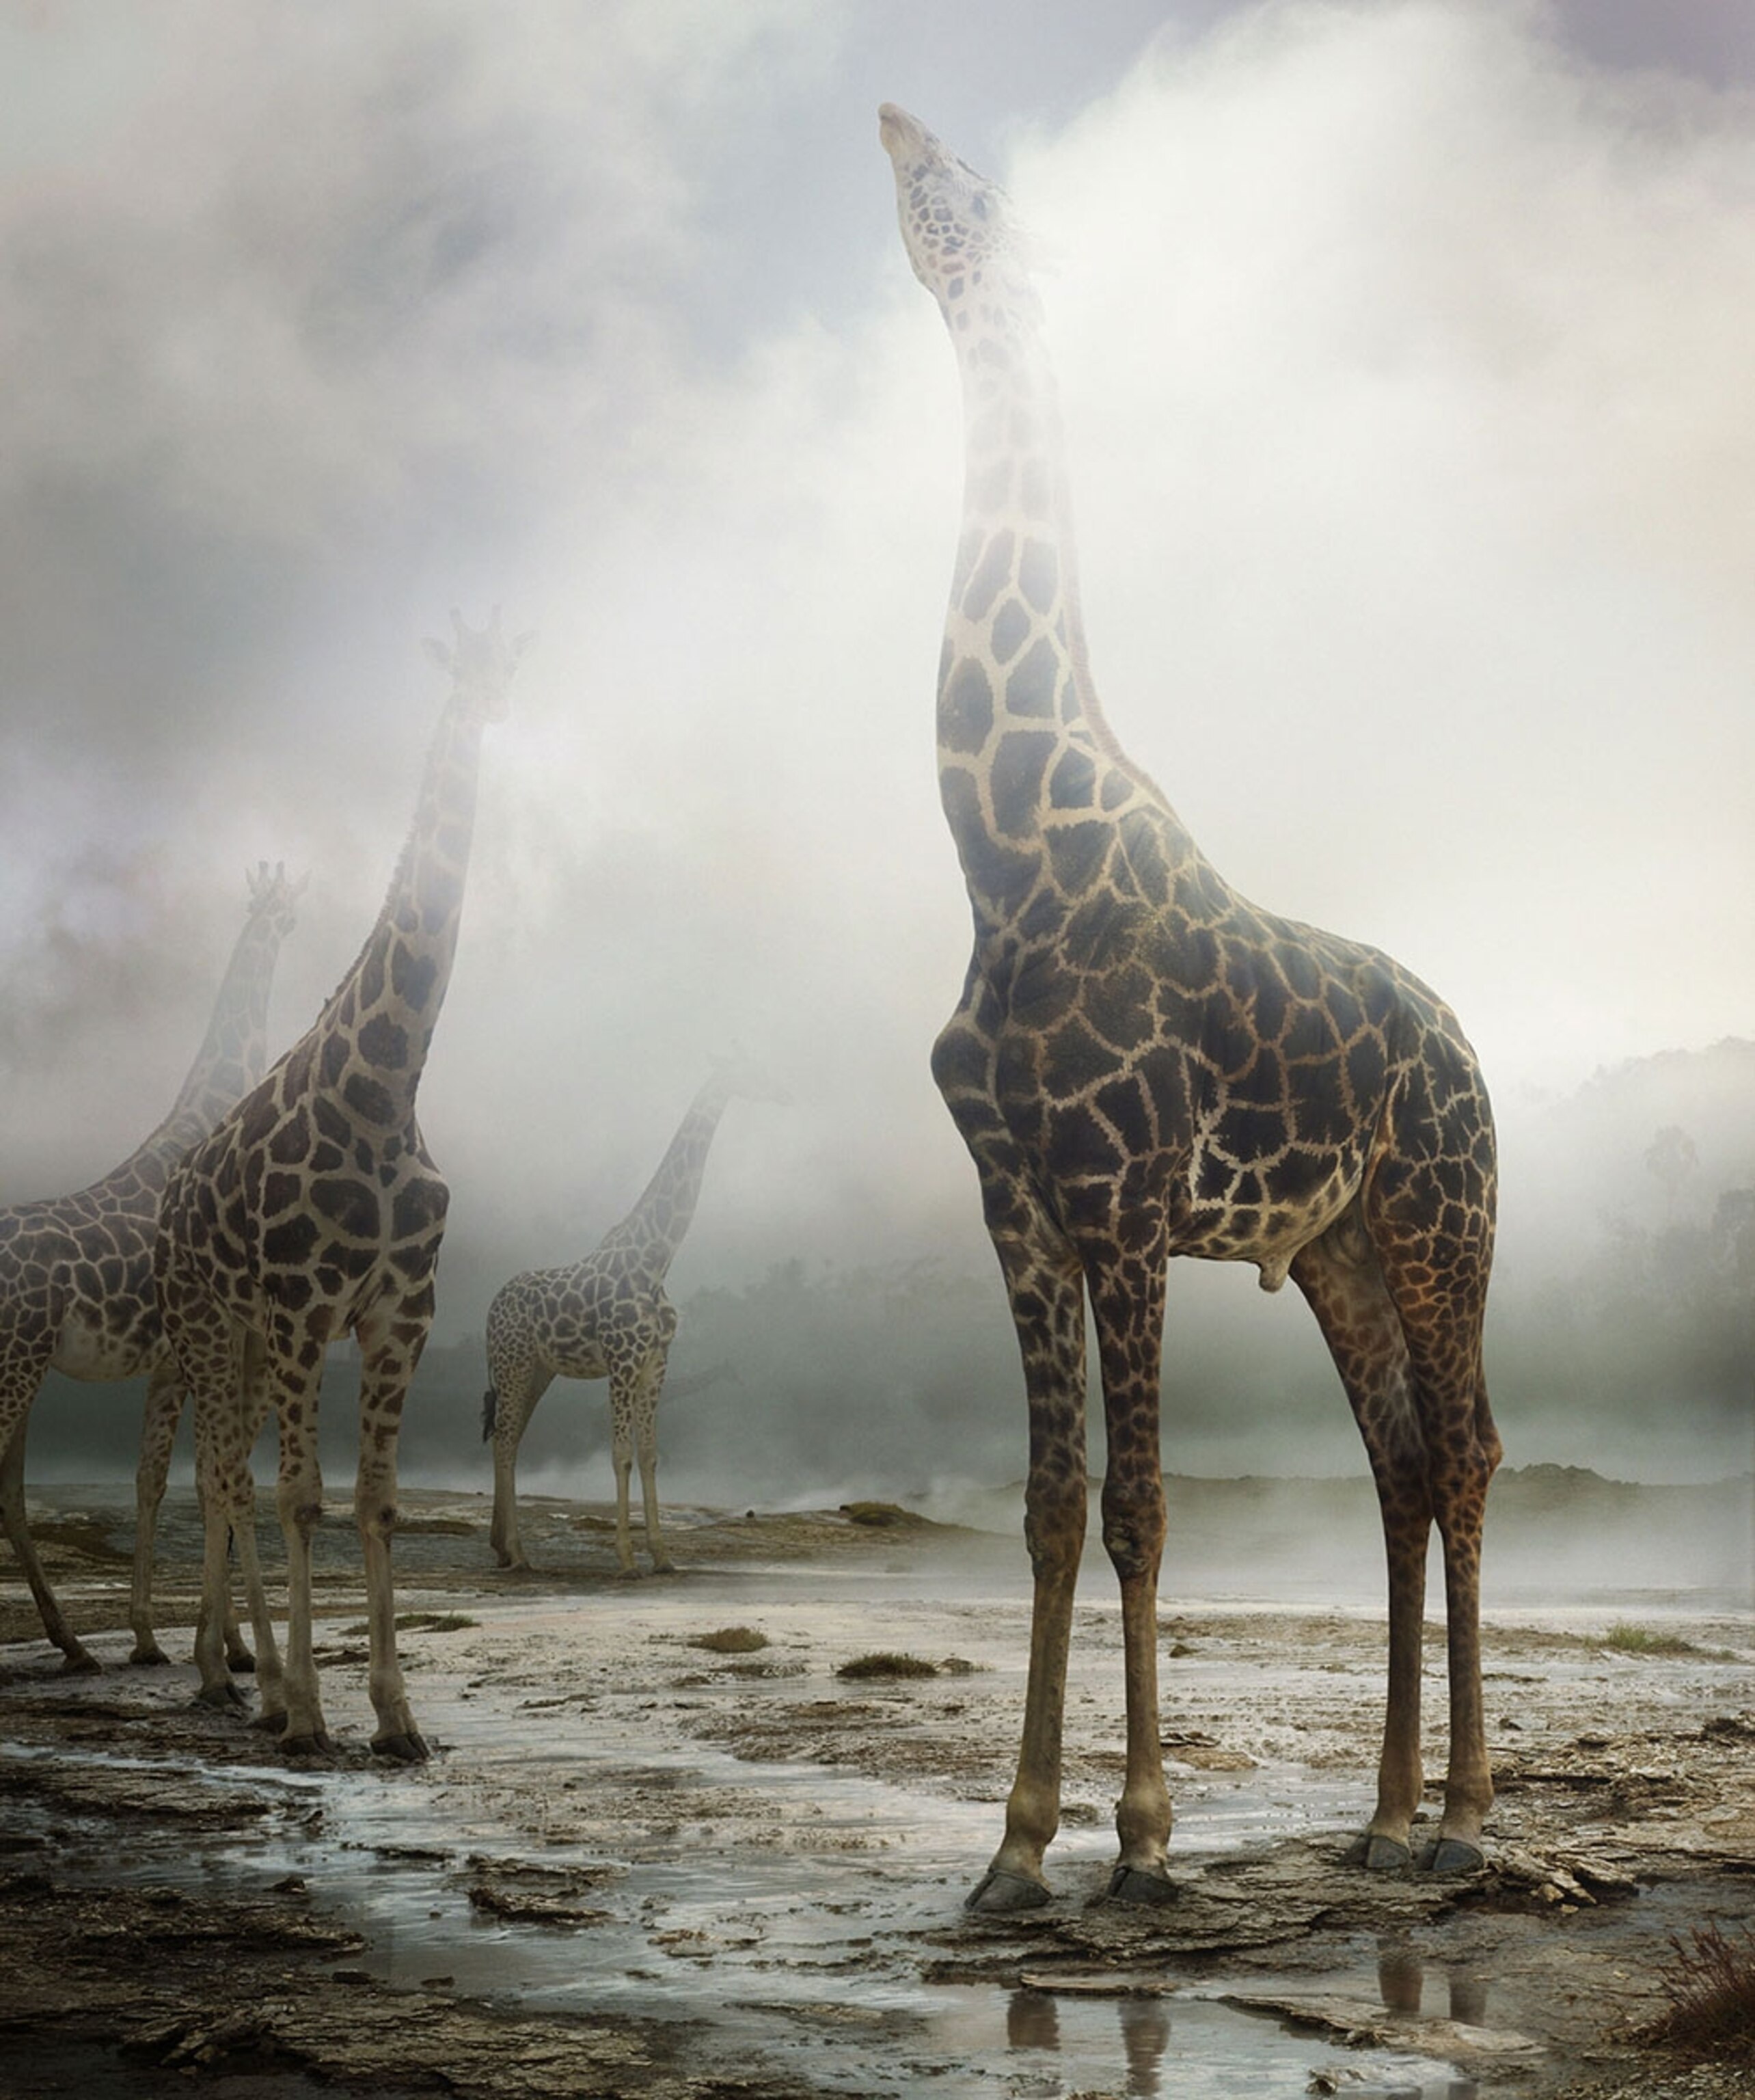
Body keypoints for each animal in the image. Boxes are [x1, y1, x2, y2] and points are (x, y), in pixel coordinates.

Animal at [0, 863, 302, 1674]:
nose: (294, 917)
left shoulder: (171, 1363)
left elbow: (155, 1482)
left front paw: (149, 1637)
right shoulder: (202, 1352)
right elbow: (203, 1479)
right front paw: (227, 1647)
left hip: (26, 1367)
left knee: (10, 1489)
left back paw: (73, 1643)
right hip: (19, 1361)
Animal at [154, 609, 524, 1759]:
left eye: (513, 656)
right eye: (461, 662)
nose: (490, 708)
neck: (386, 1090)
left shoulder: (399, 1310)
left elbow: (377, 1503)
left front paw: (398, 1718)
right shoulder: (303, 1308)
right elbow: (302, 1499)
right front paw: (317, 1714)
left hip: (240, 1342)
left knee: (225, 1477)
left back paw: (241, 1671)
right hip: (207, 1323)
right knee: (226, 1478)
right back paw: (250, 1683)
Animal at [483, 1055, 786, 1575]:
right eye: (752, 1062)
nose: (786, 1089)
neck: (656, 1258)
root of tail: (488, 1311)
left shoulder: (656, 1363)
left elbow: (649, 1455)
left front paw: (663, 1556)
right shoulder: (622, 1361)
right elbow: (621, 1454)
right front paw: (626, 1558)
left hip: (538, 1370)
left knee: (513, 1436)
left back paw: (503, 1548)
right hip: (514, 1363)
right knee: (504, 1438)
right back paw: (519, 1553)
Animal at [879, 107, 1500, 1912]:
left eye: (961, 189)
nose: (890, 123)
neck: (1003, 849)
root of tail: (1474, 1051)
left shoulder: (1127, 1200)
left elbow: (1142, 1507)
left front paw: (1143, 1841)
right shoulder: (1018, 1202)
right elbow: (1045, 1501)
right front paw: (1015, 1844)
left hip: (1440, 1222)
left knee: (1465, 1451)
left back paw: (1465, 1814)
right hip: (1341, 1250)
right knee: (1396, 1467)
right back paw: (1380, 1816)